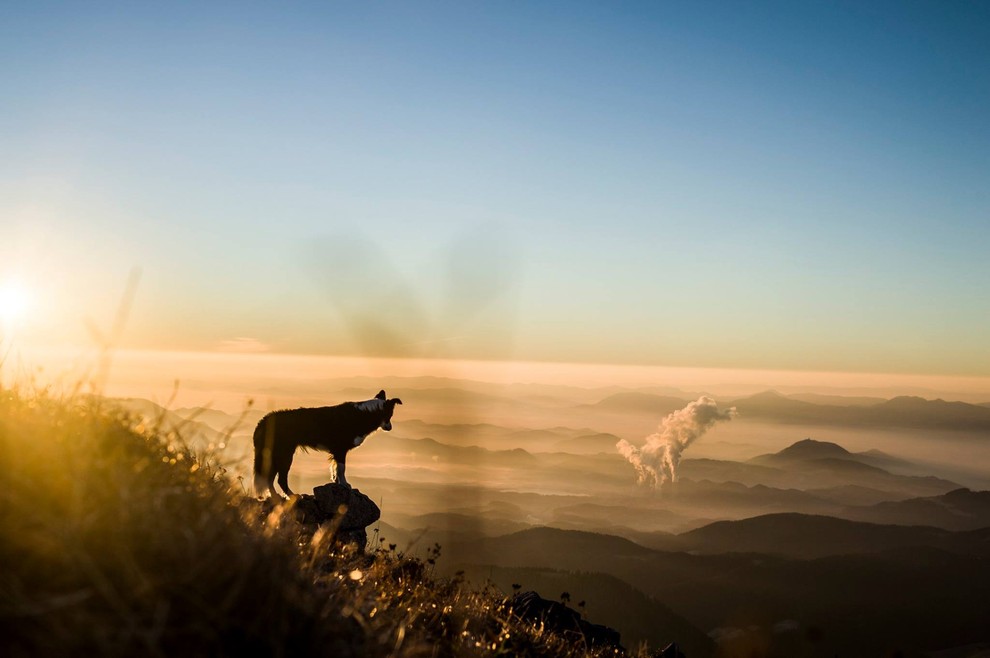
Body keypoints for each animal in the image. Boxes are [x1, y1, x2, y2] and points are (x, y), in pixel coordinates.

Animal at [252, 386, 404, 494]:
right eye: (390, 414)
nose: (390, 428)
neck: (365, 414)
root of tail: (261, 423)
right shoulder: (340, 449)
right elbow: (342, 468)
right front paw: (345, 485)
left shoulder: (336, 451)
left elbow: (335, 468)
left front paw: (337, 482)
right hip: (284, 454)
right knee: (280, 479)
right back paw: (292, 496)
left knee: (269, 478)